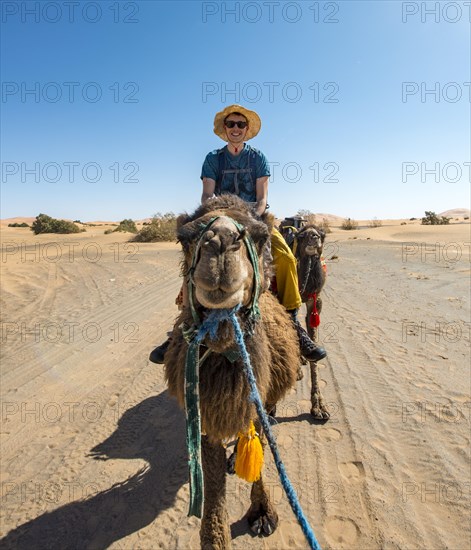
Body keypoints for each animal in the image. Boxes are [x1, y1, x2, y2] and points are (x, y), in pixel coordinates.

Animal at [164, 196, 300, 548]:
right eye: (184, 238)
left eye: (261, 236)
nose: (221, 242)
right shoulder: (203, 410)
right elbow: (211, 488)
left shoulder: (259, 400)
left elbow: (261, 444)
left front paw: (263, 513)